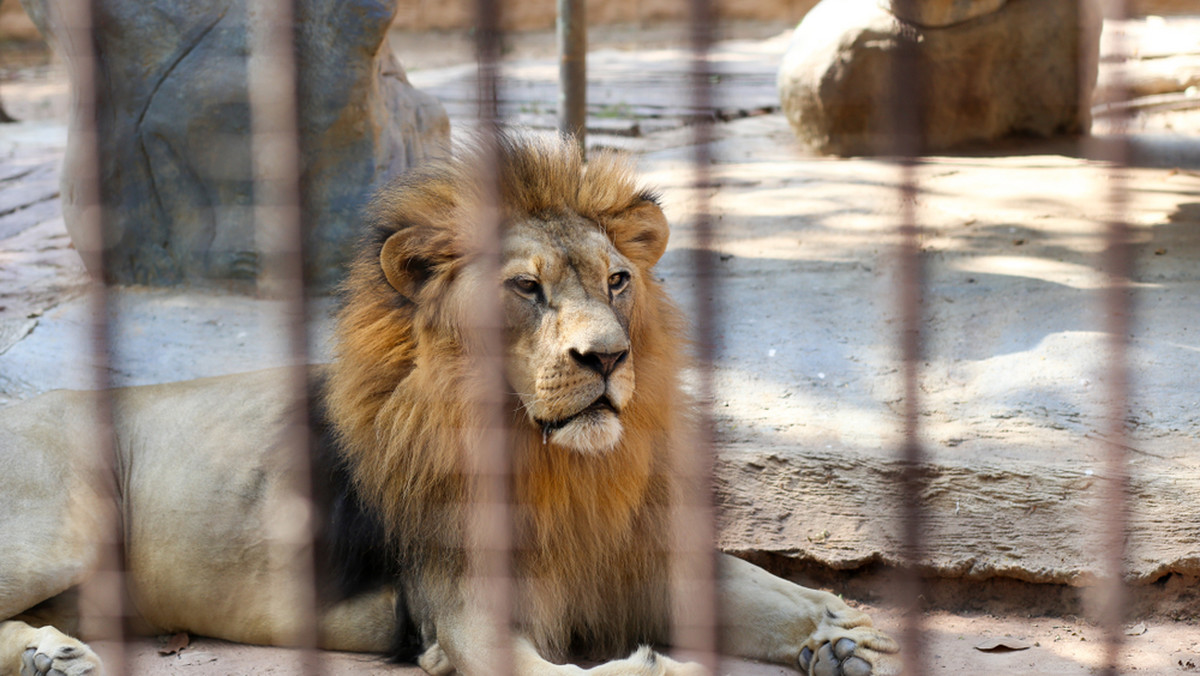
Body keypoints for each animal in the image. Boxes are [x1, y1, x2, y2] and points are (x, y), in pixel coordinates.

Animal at [0, 132, 897, 676]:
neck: (555, 468)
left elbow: (759, 589)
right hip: (63, 527)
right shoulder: (464, 620)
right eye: (527, 288)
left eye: (617, 279)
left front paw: (838, 634)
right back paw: (50, 656)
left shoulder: (632, 558)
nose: (608, 356)